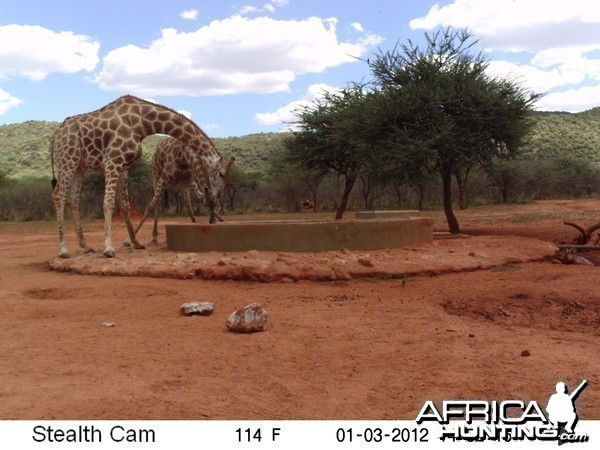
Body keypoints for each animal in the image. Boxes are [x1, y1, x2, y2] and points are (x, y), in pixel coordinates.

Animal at [50, 94, 224, 260]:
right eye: (222, 174)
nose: (215, 198)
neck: (143, 123)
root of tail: (55, 136)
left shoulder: (124, 165)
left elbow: (125, 204)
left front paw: (136, 243)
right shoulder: (112, 160)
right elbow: (108, 202)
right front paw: (108, 248)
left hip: (80, 165)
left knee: (73, 199)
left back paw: (86, 246)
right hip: (68, 160)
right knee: (58, 195)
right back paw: (63, 250)